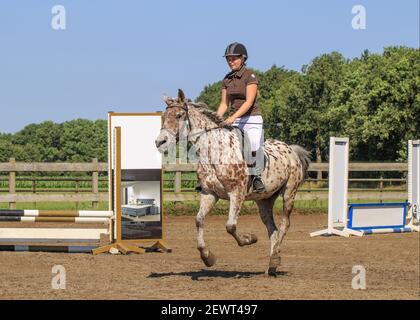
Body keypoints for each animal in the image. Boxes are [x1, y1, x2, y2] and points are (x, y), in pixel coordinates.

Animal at [156, 89, 310, 276]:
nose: (160, 142)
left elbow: (230, 226)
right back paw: (272, 265)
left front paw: (250, 239)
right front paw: (207, 257)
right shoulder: (209, 194)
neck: (214, 152)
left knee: (284, 225)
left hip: (289, 193)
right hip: (264, 201)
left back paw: (274, 258)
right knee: (272, 229)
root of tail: (291, 149)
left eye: (179, 116)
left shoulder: (237, 194)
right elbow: (199, 220)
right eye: (164, 117)